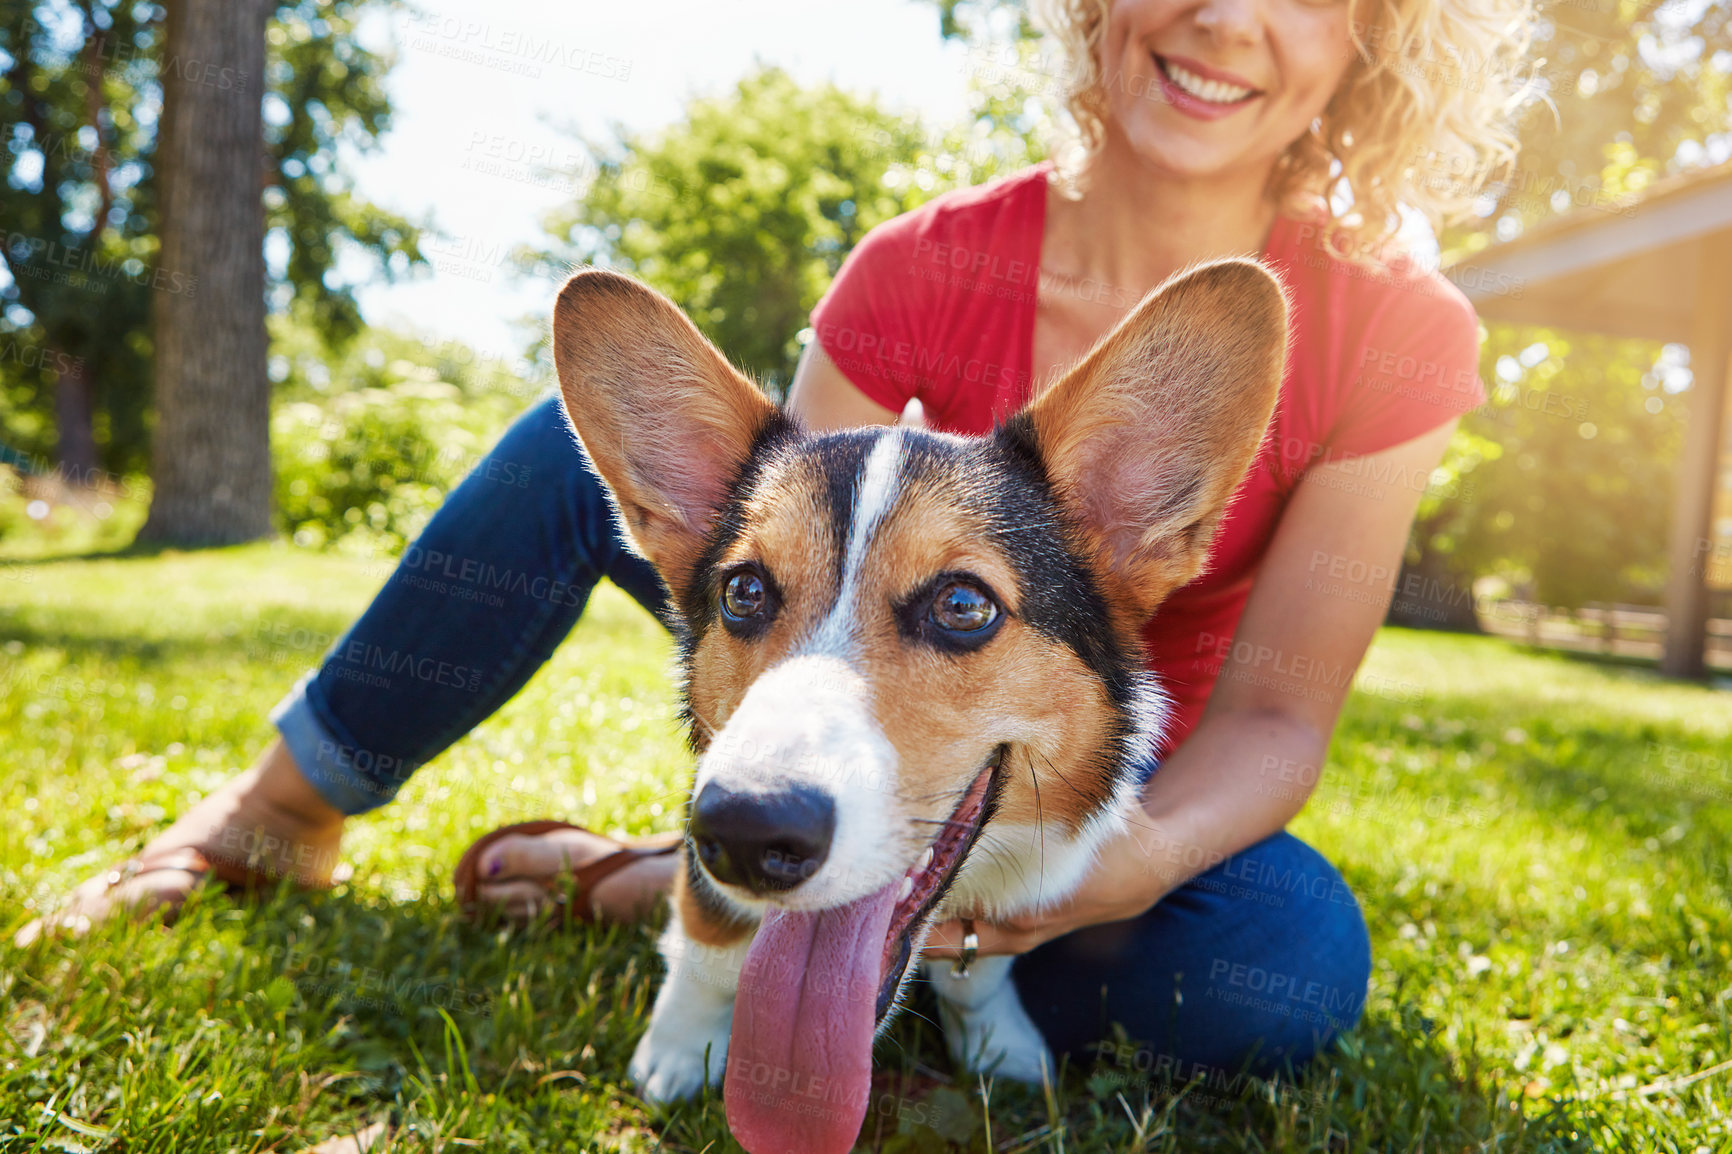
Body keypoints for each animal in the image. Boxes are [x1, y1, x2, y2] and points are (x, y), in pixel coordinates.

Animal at [550, 258, 1288, 1150]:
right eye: (744, 592)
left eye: (963, 606)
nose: (748, 832)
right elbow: (709, 934)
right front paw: (680, 1047)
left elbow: (985, 964)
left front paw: (997, 1041)